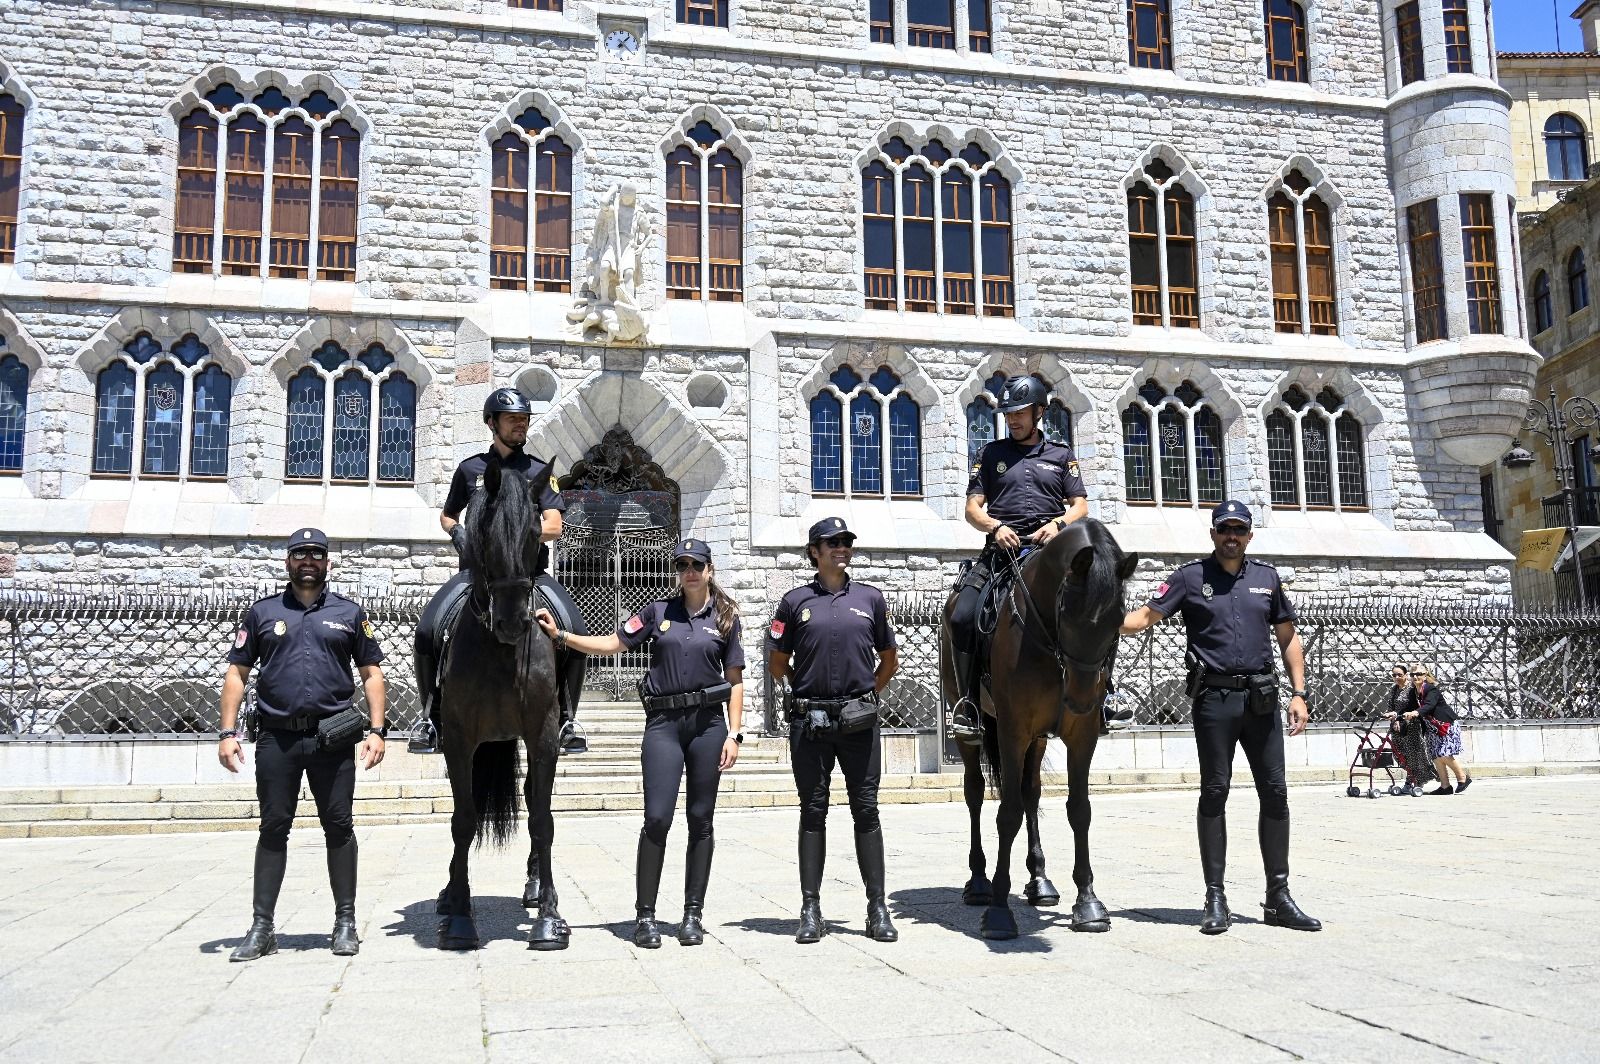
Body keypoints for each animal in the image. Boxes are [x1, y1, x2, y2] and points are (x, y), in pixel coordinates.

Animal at [432, 451, 569, 947]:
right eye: (486, 534)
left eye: (534, 532)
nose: (513, 622)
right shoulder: (457, 739)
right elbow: (463, 820)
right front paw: (458, 913)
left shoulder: (544, 735)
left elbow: (542, 819)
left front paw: (549, 916)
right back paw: (449, 894)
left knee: (531, 800)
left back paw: (533, 884)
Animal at [934, 518, 1139, 940]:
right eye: (1067, 612)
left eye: (1118, 619)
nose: (1080, 698)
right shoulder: (1013, 730)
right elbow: (1007, 812)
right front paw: (999, 909)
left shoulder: (1081, 736)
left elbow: (1079, 809)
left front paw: (1088, 902)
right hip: (976, 726)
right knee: (975, 793)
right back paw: (979, 882)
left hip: (1040, 739)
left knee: (1031, 792)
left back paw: (1039, 880)